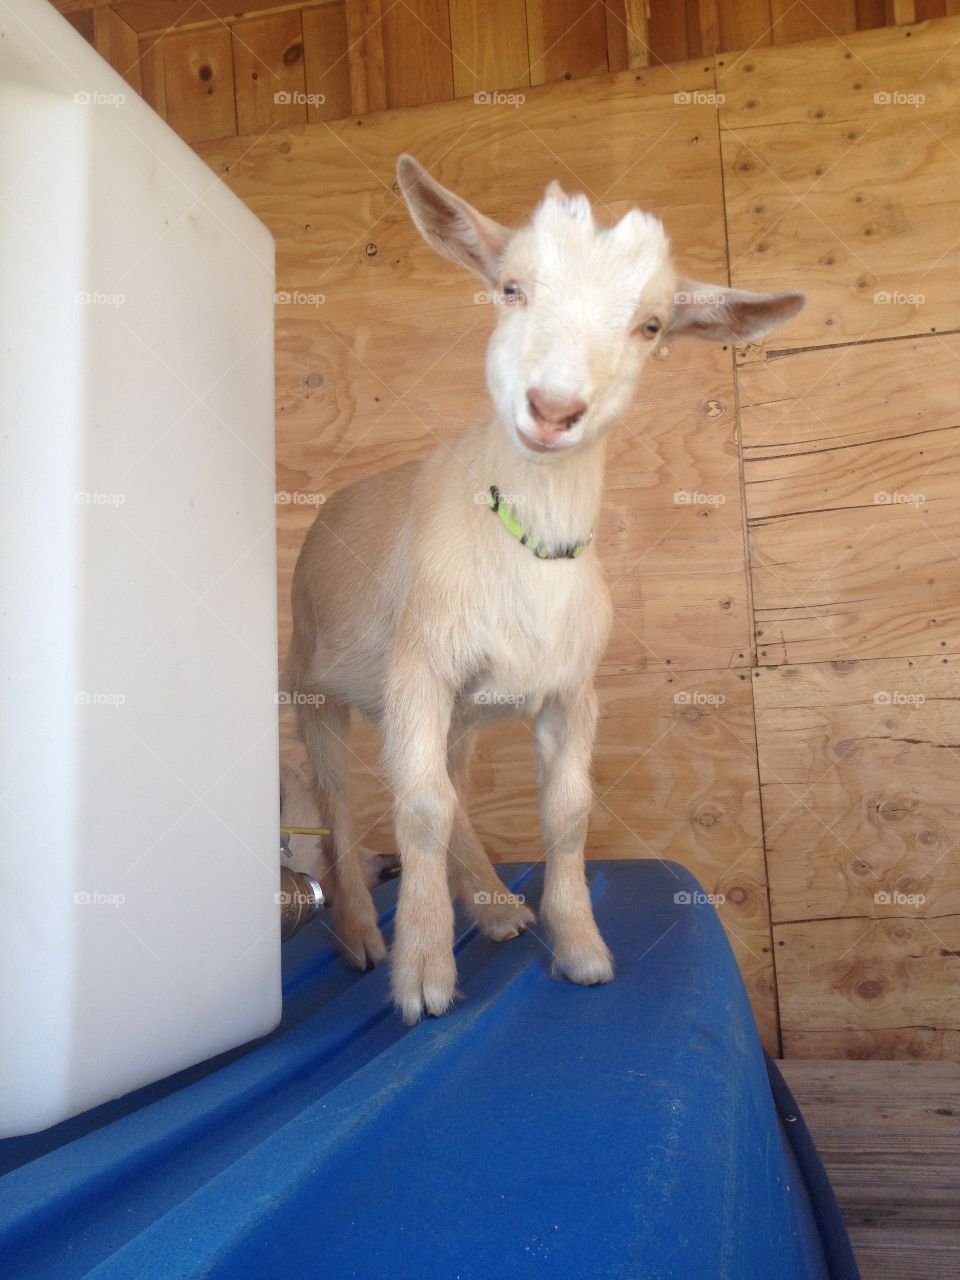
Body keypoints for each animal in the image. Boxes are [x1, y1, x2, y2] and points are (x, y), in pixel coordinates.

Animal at [284, 154, 804, 1023]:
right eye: (511, 288)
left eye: (651, 326)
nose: (554, 409)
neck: (526, 547)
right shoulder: (419, 668)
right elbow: (417, 808)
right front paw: (422, 973)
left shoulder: (567, 692)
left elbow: (564, 815)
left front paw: (582, 947)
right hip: (312, 681)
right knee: (338, 804)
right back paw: (361, 934)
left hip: (458, 716)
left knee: (452, 788)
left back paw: (493, 906)